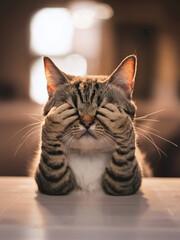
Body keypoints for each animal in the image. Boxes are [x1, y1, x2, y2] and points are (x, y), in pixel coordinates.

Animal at [33, 55, 146, 196]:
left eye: (102, 108)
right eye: (72, 108)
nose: (86, 122)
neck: (89, 155)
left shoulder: (126, 182)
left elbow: (123, 162)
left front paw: (122, 123)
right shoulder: (53, 182)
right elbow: (53, 164)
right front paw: (53, 122)